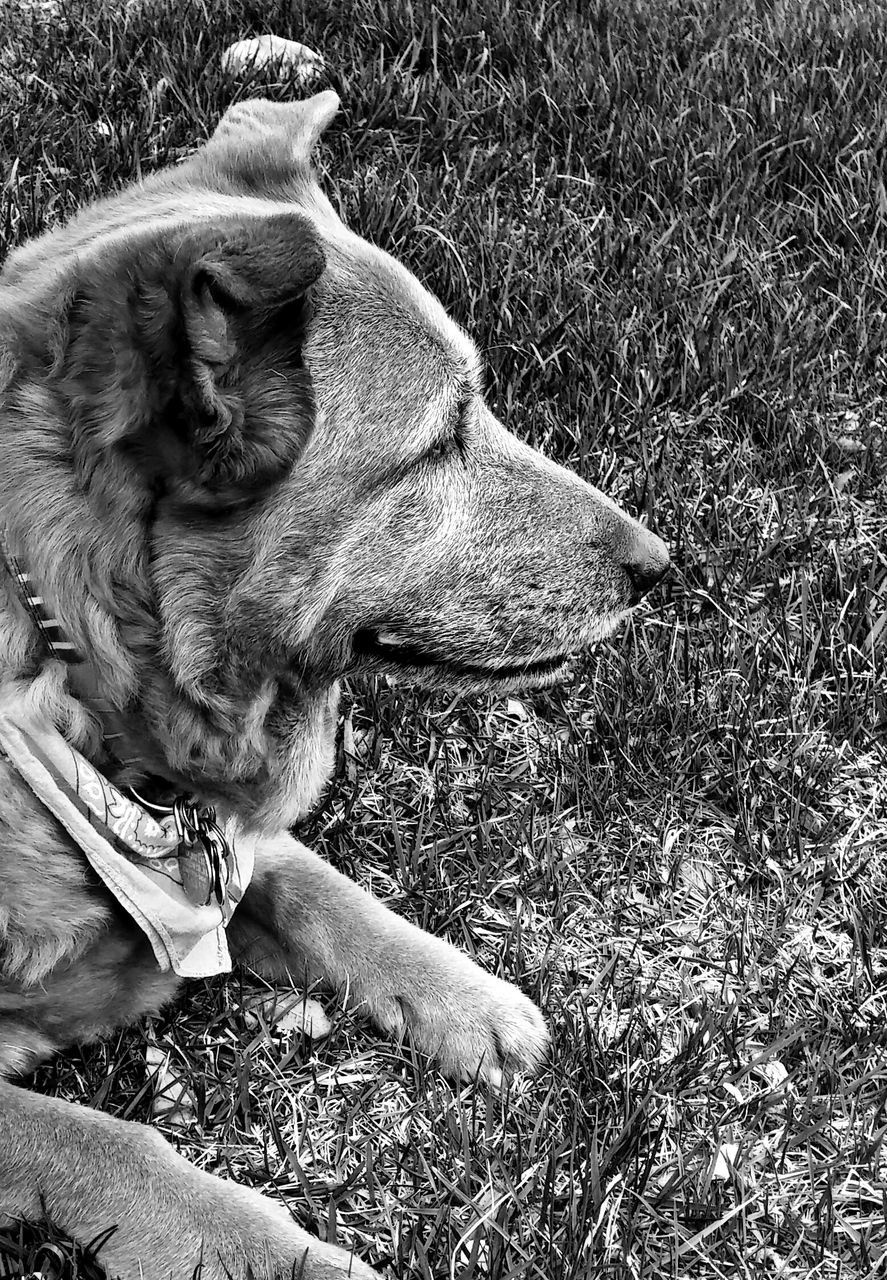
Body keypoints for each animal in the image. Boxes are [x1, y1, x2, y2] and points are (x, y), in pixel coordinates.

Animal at [0, 92, 665, 1280]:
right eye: (438, 440)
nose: (660, 565)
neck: (75, 684)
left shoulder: (220, 827)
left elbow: (314, 884)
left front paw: (460, 998)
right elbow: (111, 1146)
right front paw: (280, 1256)